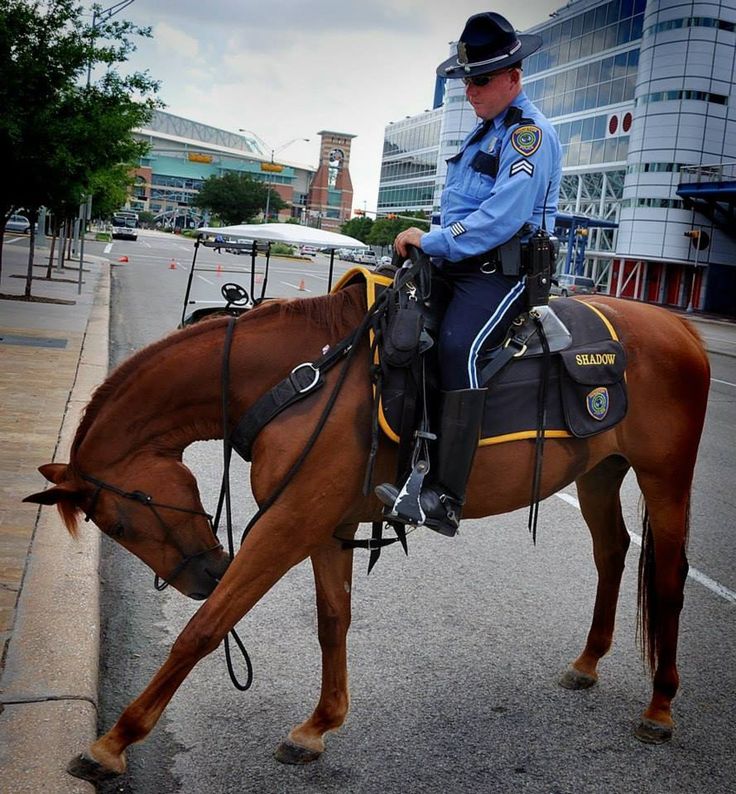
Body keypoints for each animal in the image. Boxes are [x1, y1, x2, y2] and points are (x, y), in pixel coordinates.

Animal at [25, 284, 712, 780]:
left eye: (119, 519)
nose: (202, 575)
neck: (299, 376)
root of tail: (680, 327)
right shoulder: (328, 524)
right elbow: (333, 619)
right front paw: (318, 727)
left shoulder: (288, 523)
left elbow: (205, 629)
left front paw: (114, 742)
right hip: (599, 472)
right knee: (613, 553)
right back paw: (589, 661)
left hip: (665, 476)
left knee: (669, 577)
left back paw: (660, 706)